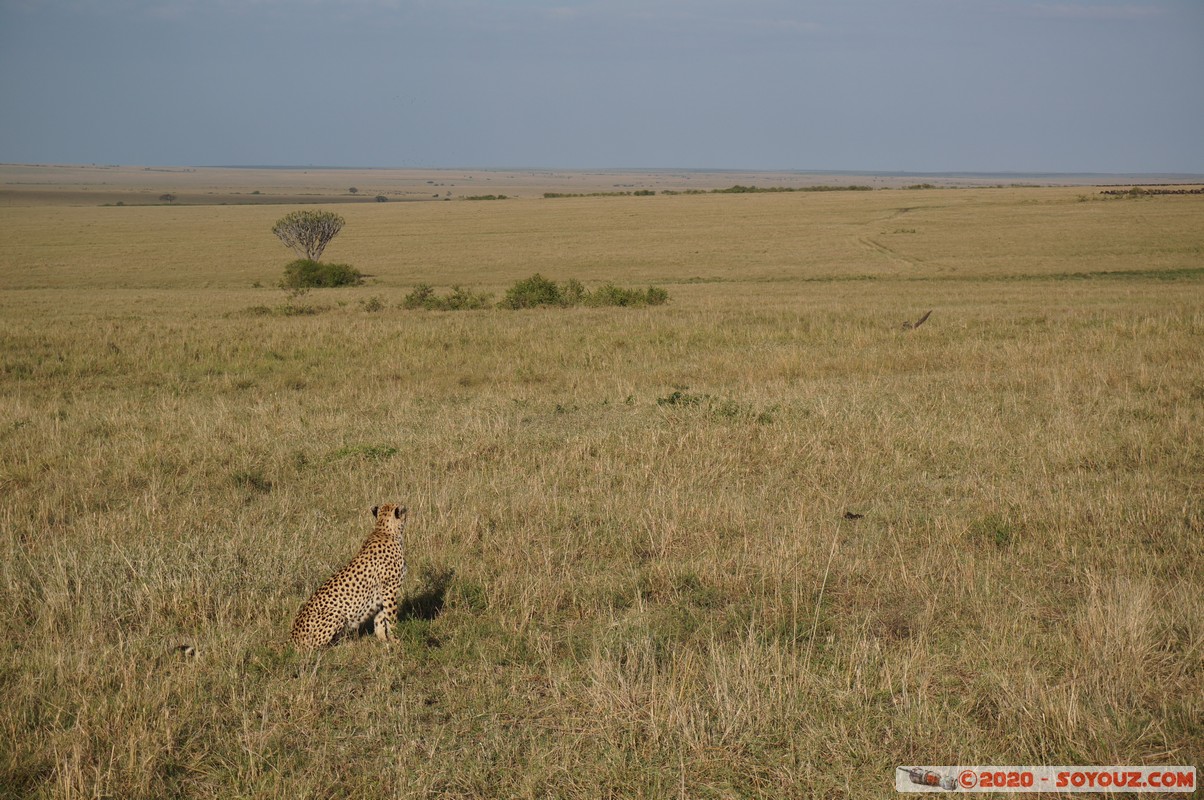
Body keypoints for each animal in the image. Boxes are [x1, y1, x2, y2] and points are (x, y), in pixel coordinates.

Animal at [291, 506, 409, 650]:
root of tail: (292, 638)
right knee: (315, 649)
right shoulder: (389, 589)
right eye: (403, 510)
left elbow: (380, 618)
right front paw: (397, 640)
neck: (384, 530)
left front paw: (383, 640)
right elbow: (391, 618)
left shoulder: (382, 593)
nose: (407, 509)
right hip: (336, 614)